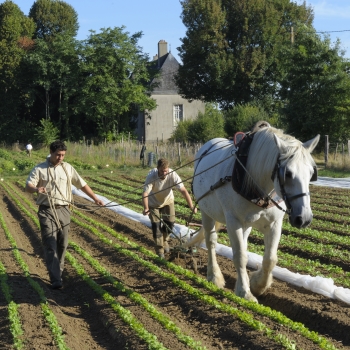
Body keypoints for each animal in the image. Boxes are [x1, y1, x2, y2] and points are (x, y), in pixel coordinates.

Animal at [187, 127, 318, 302]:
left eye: (311, 173)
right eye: (288, 173)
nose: (304, 218)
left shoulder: (274, 224)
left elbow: (270, 259)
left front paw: (257, 285)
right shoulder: (233, 221)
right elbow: (240, 256)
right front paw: (245, 292)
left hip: (246, 223)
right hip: (206, 212)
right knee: (211, 242)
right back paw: (214, 276)